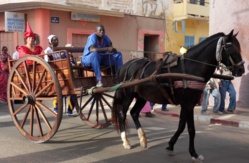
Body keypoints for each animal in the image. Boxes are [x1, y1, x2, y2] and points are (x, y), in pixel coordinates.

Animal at [112, 30, 244, 162]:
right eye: (230, 48)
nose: (241, 70)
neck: (191, 68)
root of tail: (125, 66)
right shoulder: (188, 104)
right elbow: (190, 129)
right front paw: (193, 153)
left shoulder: (188, 104)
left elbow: (182, 126)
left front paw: (171, 146)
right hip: (128, 95)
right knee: (122, 114)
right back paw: (126, 141)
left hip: (141, 97)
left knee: (134, 113)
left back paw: (143, 138)